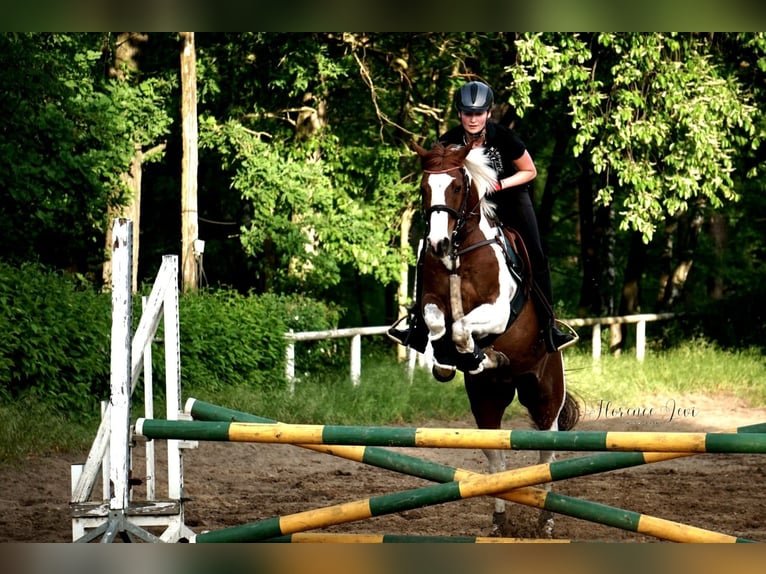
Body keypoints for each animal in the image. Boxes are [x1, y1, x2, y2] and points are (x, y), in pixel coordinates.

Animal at [414, 142, 584, 544]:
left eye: (457, 186)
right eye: (425, 188)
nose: (438, 243)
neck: (460, 251)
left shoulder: (498, 311)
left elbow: (462, 328)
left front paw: (479, 356)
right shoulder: (431, 301)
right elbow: (438, 324)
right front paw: (446, 362)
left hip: (545, 397)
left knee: (546, 457)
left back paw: (545, 523)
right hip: (486, 402)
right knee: (497, 459)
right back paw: (500, 522)